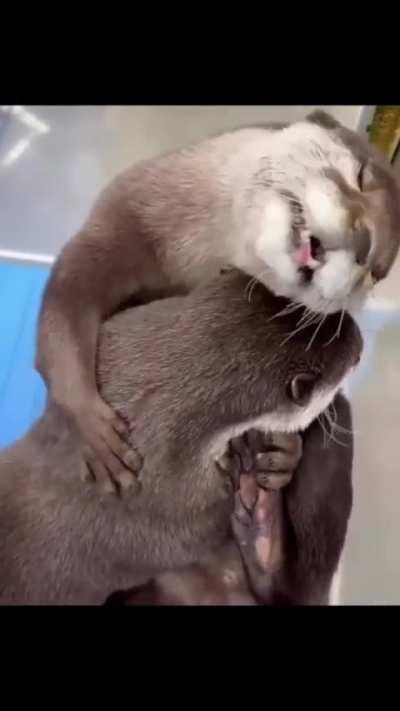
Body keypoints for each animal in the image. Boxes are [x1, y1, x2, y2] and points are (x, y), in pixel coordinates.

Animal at [35, 110, 399, 487]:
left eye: (375, 272)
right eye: (361, 175)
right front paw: (90, 425)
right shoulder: (126, 214)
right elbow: (69, 294)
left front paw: (283, 455)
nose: (365, 243)